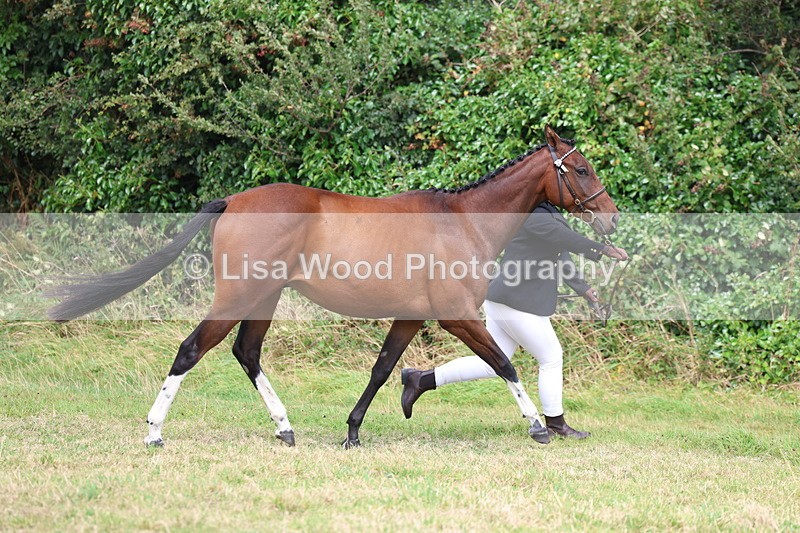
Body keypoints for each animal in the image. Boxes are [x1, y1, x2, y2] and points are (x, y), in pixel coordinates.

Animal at [47, 125, 620, 448]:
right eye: (582, 169)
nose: (612, 219)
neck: (462, 222)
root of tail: (233, 201)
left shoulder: (410, 315)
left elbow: (384, 369)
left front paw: (353, 431)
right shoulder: (456, 315)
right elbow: (504, 364)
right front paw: (539, 426)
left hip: (264, 297)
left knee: (246, 352)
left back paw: (285, 429)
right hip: (238, 295)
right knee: (191, 349)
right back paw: (154, 432)